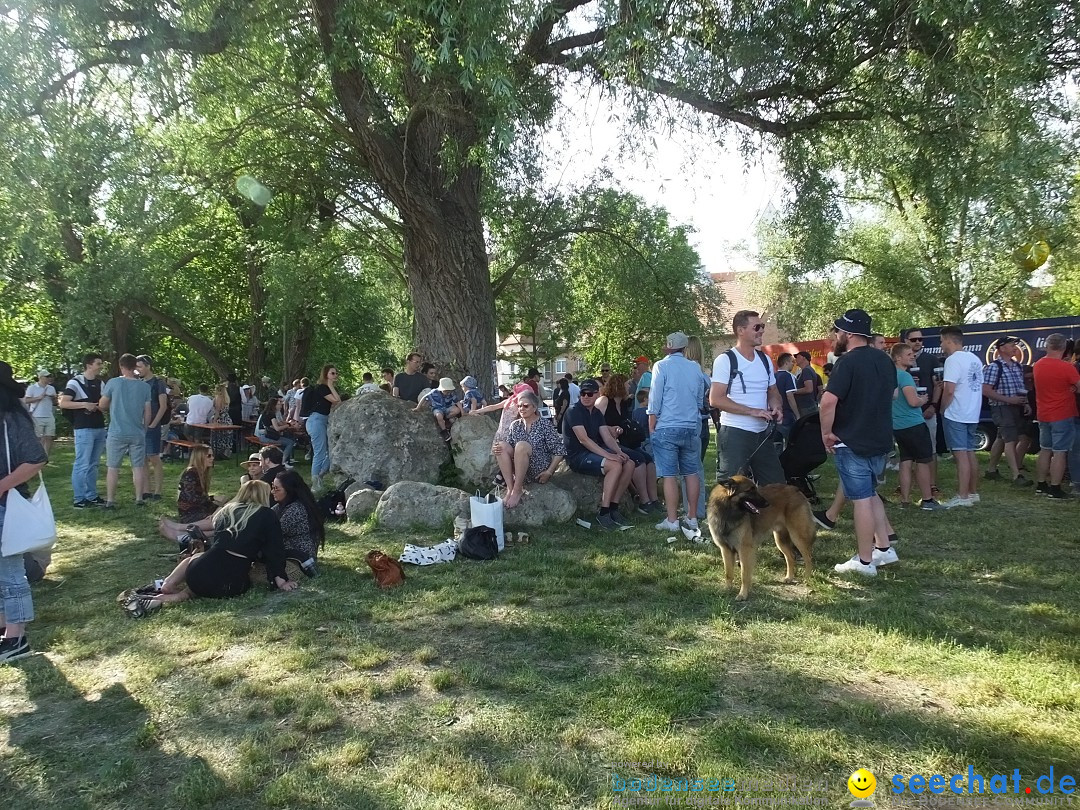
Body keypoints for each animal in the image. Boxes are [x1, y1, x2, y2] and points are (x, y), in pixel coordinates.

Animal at [704, 475, 812, 604]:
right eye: (750, 490)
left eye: (755, 488)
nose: (767, 503)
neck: (728, 512)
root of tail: (795, 489)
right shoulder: (726, 549)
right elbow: (728, 573)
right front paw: (727, 589)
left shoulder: (744, 550)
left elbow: (744, 575)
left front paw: (743, 594)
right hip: (780, 540)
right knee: (790, 557)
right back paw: (789, 577)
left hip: (797, 536)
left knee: (808, 557)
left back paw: (807, 578)